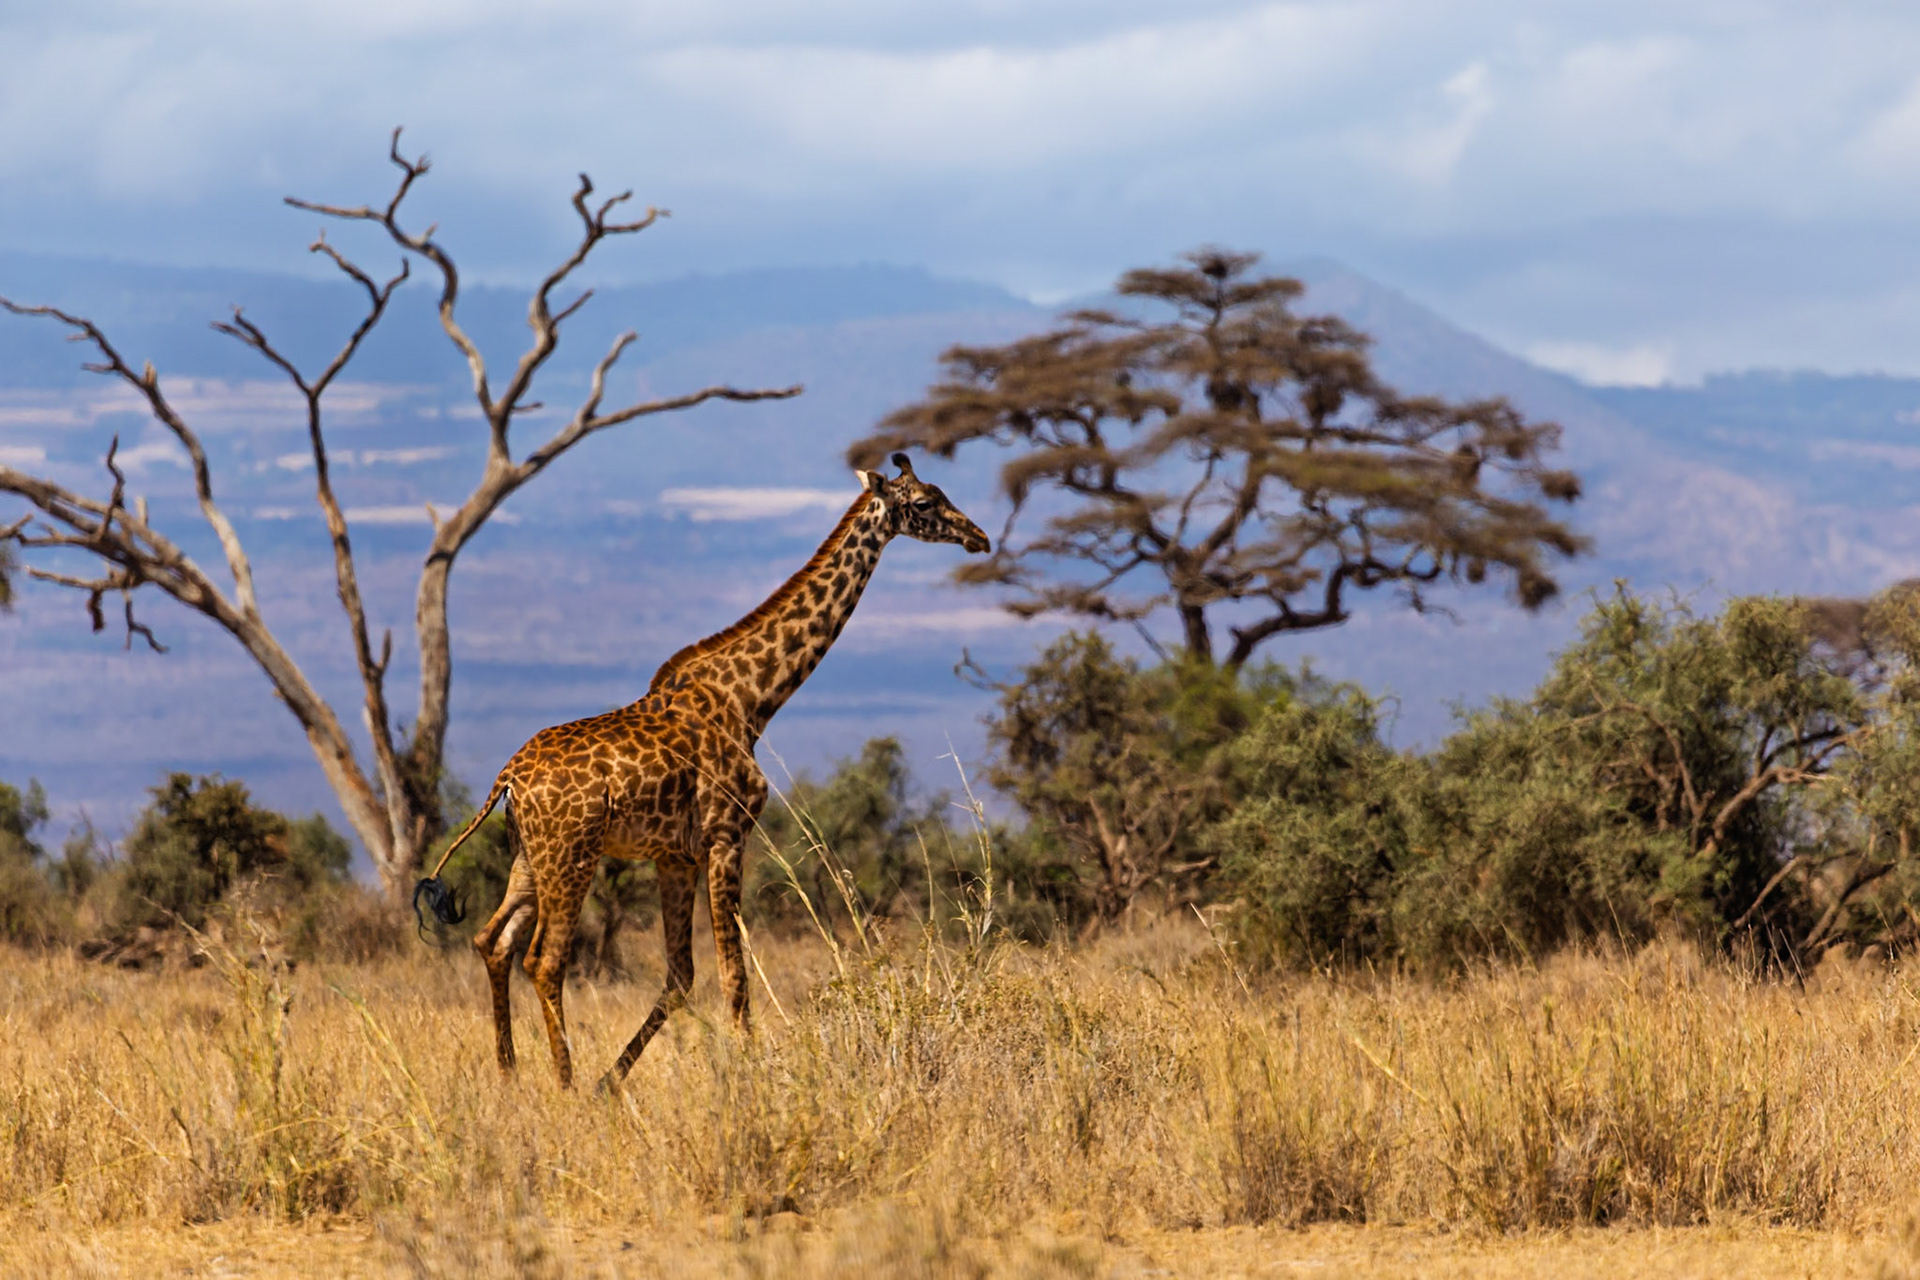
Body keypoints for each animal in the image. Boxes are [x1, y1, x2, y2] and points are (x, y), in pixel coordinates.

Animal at [414, 453, 989, 1091]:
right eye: (925, 502)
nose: (979, 537)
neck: (751, 698)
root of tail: (508, 778)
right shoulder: (725, 836)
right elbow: (734, 977)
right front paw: (749, 1078)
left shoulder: (675, 855)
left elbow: (681, 976)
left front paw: (612, 1083)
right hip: (571, 856)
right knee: (545, 959)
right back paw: (563, 1083)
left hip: (528, 855)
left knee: (493, 941)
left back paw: (511, 1075)